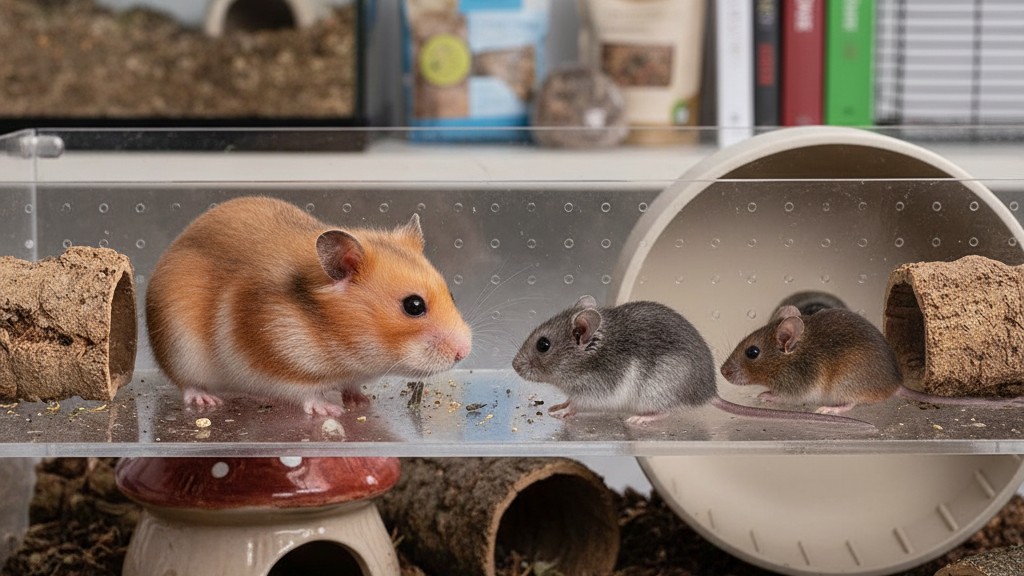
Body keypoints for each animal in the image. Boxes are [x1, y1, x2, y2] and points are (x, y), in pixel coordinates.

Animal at [146, 196, 472, 416]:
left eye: (452, 294)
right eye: (414, 305)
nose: (465, 352)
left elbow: (352, 386)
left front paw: (360, 402)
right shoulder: (273, 365)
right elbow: (304, 393)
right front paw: (331, 411)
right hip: (180, 350)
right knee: (186, 383)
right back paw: (207, 400)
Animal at [512, 296, 873, 427]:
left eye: (543, 345)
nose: (514, 366)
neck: (590, 355)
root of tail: (709, 393)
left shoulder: (597, 390)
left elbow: (578, 403)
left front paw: (563, 411)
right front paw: (556, 407)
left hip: (655, 390)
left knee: (665, 411)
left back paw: (640, 419)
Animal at [720, 304, 1024, 413]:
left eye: (752, 352)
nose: (722, 372)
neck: (792, 355)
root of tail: (896, 386)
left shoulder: (796, 384)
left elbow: (780, 395)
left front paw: (764, 396)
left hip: (844, 383)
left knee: (852, 403)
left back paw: (830, 410)